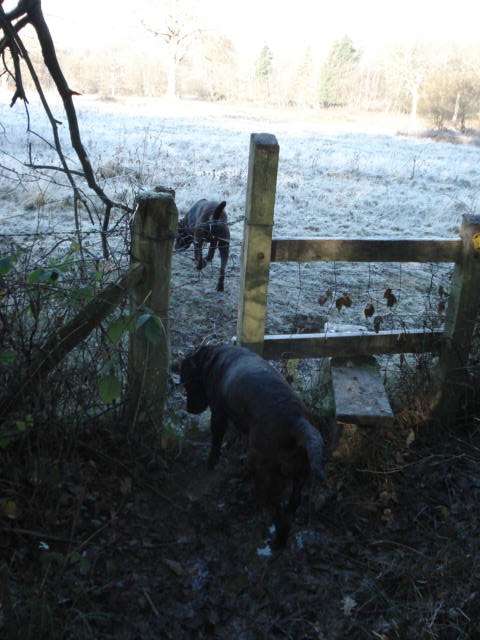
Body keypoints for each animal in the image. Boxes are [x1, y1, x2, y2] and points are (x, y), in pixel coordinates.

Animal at [180, 342, 326, 548]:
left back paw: (276, 543)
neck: (211, 358)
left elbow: (216, 440)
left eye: (187, 384)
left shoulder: (218, 414)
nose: (189, 408)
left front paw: (211, 462)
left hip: (264, 475)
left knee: (278, 516)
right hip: (300, 473)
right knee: (292, 505)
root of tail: (297, 422)